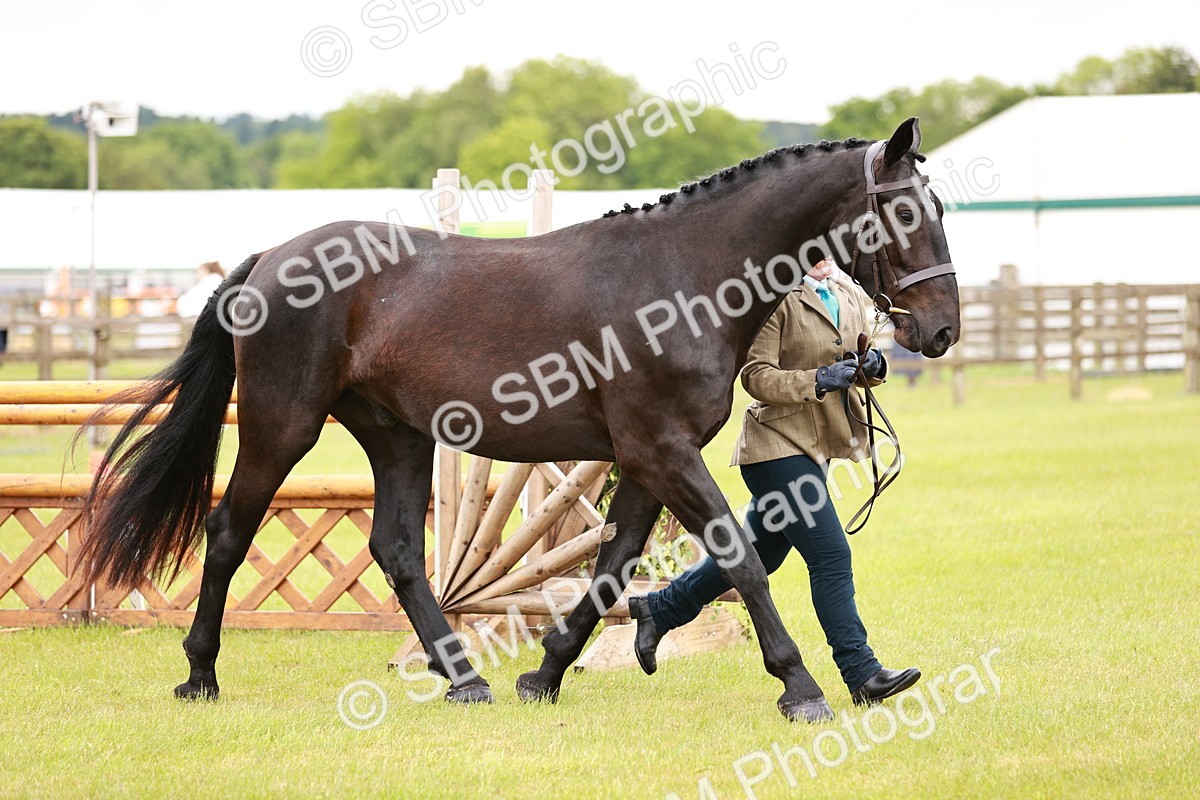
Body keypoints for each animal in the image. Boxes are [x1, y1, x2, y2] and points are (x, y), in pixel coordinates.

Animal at [79, 117, 959, 722]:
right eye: (903, 212)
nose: (941, 330)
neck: (682, 277)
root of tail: (270, 258)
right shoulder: (662, 450)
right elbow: (738, 559)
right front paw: (801, 687)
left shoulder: (645, 459)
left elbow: (613, 566)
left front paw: (545, 672)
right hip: (280, 424)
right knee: (229, 531)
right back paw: (200, 675)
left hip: (397, 435)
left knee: (398, 551)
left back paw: (465, 679)